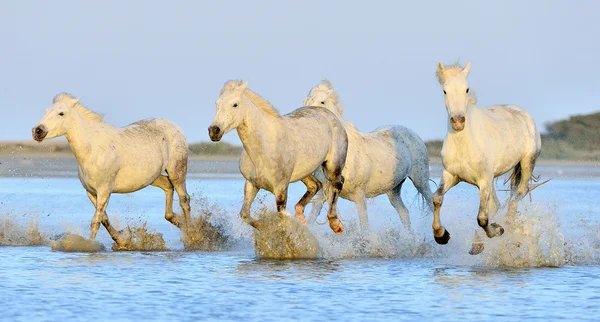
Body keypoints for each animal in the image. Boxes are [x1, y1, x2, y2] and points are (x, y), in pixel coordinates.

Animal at [31, 92, 191, 248]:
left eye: (61, 113)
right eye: (46, 111)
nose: (37, 131)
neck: (93, 150)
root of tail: (174, 127)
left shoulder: (104, 190)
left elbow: (96, 221)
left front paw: (91, 245)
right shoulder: (91, 192)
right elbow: (104, 218)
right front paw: (122, 240)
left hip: (177, 171)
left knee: (184, 200)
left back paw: (191, 236)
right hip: (153, 177)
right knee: (168, 188)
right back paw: (179, 223)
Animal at [207, 79, 346, 233]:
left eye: (235, 104)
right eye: (217, 104)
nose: (214, 131)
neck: (263, 148)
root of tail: (330, 115)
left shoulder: (281, 187)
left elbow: (282, 216)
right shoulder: (252, 184)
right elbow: (245, 214)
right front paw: (263, 228)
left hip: (333, 165)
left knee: (338, 184)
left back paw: (336, 224)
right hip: (305, 171)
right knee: (316, 185)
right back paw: (300, 216)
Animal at [304, 81, 432, 231]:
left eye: (322, 102)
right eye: (306, 102)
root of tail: (412, 133)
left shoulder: (359, 196)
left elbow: (364, 228)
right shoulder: (323, 193)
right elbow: (311, 219)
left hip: (421, 182)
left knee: (432, 203)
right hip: (393, 190)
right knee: (404, 212)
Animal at [432, 63, 544, 254]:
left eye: (467, 89)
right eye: (444, 91)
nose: (458, 121)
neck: (465, 143)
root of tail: (523, 113)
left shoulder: (484, 180)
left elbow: (482, 218)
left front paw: (497, 230)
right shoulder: (451, 175)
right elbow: (437, 198)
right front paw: (441, 235)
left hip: (527, 162)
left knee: (518, 194)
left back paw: (509, 225)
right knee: (497, 204)